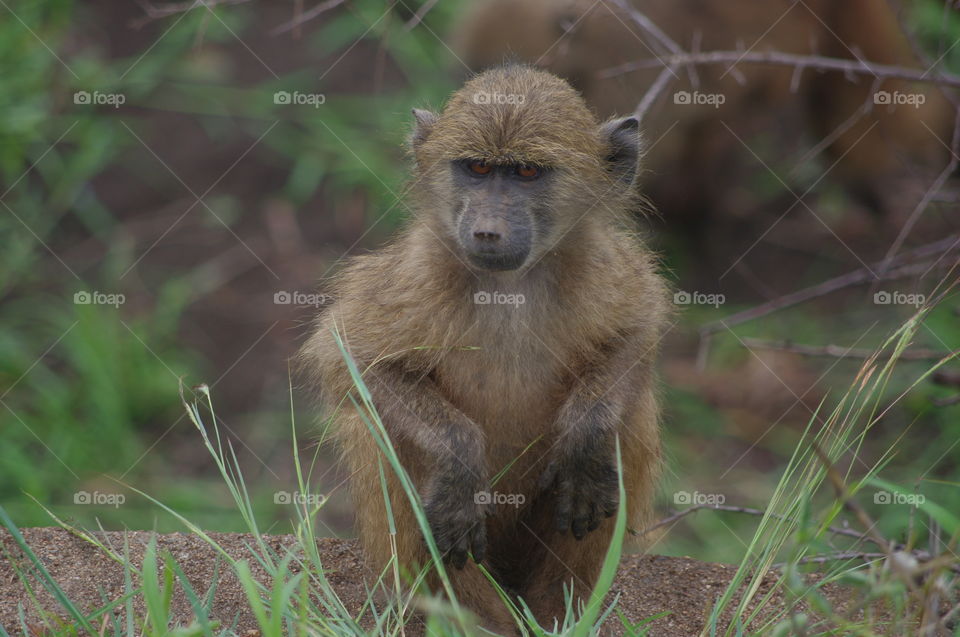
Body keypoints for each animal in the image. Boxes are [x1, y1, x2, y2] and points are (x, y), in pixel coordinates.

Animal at [300, 65, 669, 633]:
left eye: (526, 172)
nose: (488, 231)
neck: (509, 284)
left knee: (629, 415)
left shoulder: (603, 262)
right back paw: (474, 615)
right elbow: (348, 356)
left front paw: (586, 436)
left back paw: (558, 609)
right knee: (387, 435)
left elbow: (639, 327)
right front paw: (458, 459)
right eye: (476, 168)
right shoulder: (417, 271)